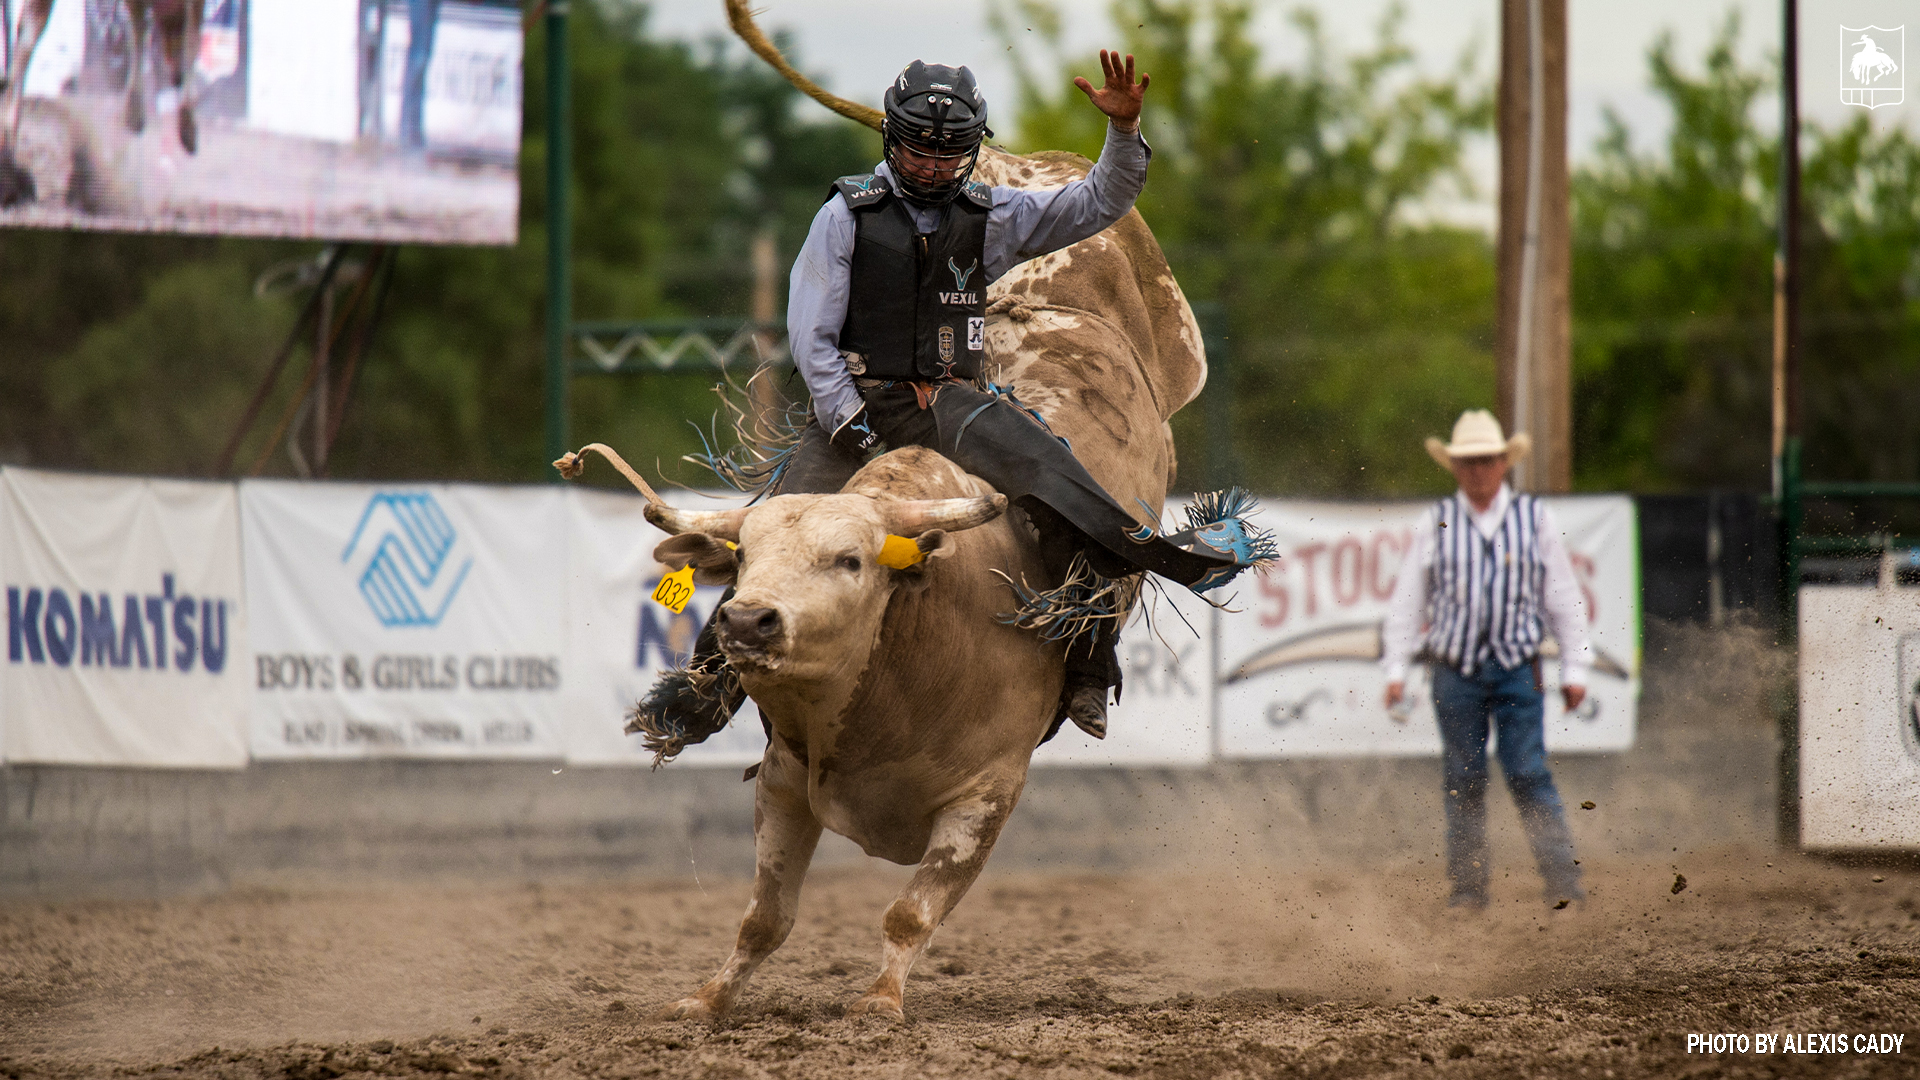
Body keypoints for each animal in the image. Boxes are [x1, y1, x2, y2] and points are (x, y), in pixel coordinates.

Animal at [556, 4, 1221, 1022]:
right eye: (742, 565)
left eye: (852, 561)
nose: (748, 622)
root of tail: (1017, 167)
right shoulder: (785, 780)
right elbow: (765, 918)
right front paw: (705, 1000)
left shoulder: (988, 797)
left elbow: (910, 913)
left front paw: (878, 1004)